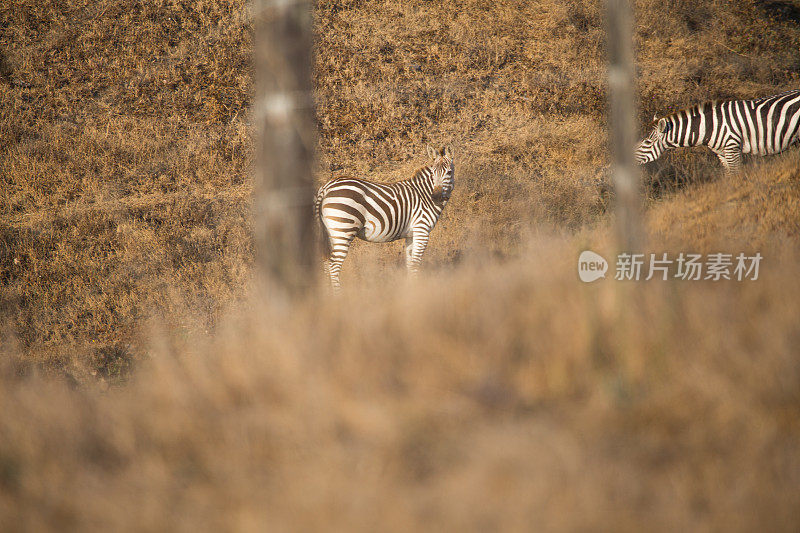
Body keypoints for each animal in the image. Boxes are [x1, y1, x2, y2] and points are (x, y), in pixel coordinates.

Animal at [314, 143, 454, 288]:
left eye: (449, 172)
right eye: (433, 173)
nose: (435, 197)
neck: (424, 193)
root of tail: (326, 187)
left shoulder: (411, 234)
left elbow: (410, 265)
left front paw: (410, 289)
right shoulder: (422, 230)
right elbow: (415, 264)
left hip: (330, 231)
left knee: (326, 264)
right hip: (343, 229)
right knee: (333, 266)